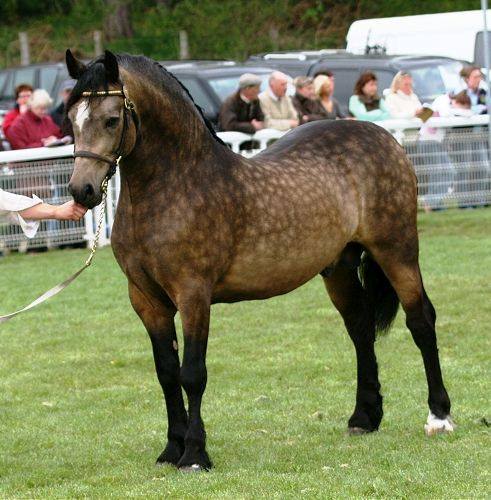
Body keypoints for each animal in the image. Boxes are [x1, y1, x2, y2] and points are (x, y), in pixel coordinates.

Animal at [64, 50, 454, 472]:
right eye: (71, 118)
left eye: (111, 119)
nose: (82, 190)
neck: (179, 184)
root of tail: (385, 138)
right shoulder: (146, 300)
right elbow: (166, 373)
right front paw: (171, 449)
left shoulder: (193, 296)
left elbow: (192, 374)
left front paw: (195, 454)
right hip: (339, 268)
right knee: (360, 330)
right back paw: (364, 417)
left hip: (397, 251)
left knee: (421, 321)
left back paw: (439, 416)